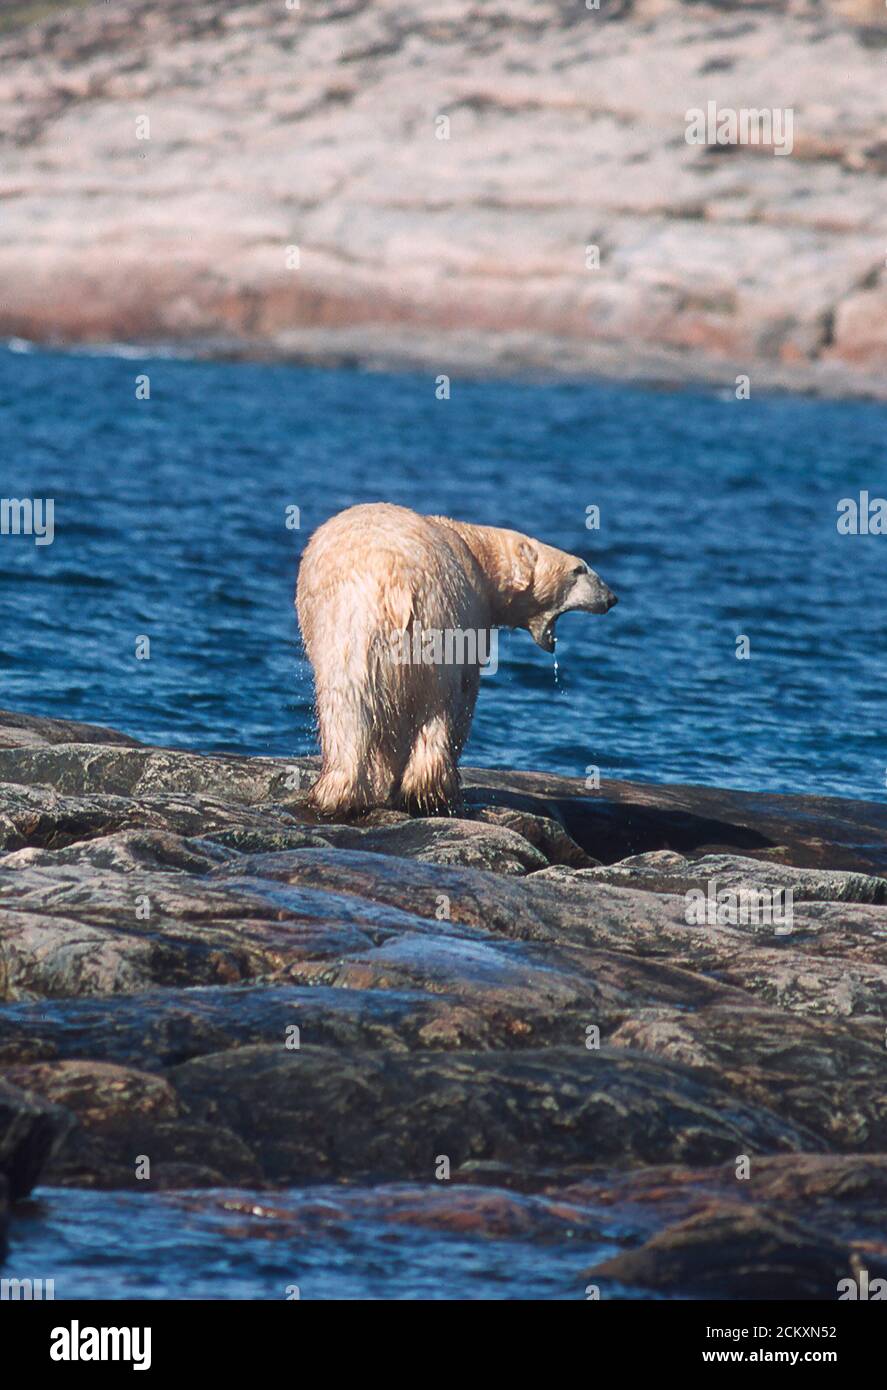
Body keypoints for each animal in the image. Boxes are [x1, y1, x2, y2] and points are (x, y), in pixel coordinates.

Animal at [298, 505, 617, 817]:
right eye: (579, 569)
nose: (611, 598)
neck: (477, 551)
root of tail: (398, 585)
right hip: (420, 626)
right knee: (435, 707)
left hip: (358, 631)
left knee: (355, 705)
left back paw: (344, 795)